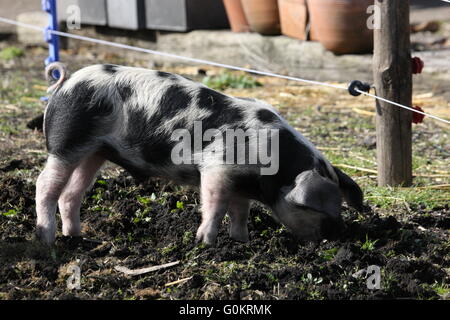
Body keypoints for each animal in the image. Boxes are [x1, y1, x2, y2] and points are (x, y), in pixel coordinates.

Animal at [36, 62, 366, 246]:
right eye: (320, 210)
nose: (341, 234)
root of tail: (66, 83)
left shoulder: (239, 181)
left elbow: (240, 211)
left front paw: (242, 241)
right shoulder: (216, 168)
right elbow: (215, 206)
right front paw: (206, 243)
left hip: (95, 151)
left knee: (72, 193)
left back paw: (76, 236)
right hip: (67, 141)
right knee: (45, 185)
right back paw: (47, 238)